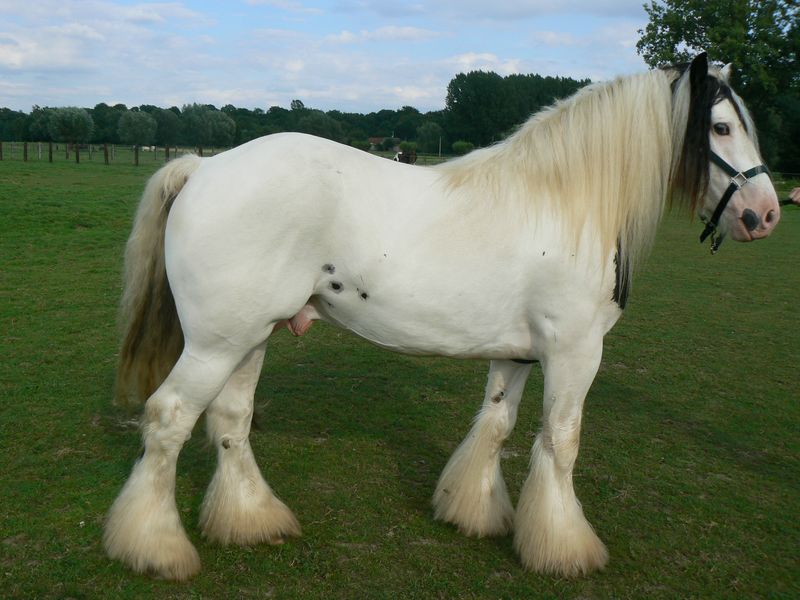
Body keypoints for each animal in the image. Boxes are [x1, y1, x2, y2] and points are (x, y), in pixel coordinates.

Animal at [103, 54, 780, 580]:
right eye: (721, 127)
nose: (766, 214)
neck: (566, 205)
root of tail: (205, 166)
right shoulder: (575, 353)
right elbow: (561, 443)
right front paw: (564, 548)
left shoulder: (516, 354)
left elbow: (497, 427)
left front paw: (472, 511)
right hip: (216, 344)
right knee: (168, 421)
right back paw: (155, 549)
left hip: (249, 337)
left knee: (230, 421)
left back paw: (252, 520)